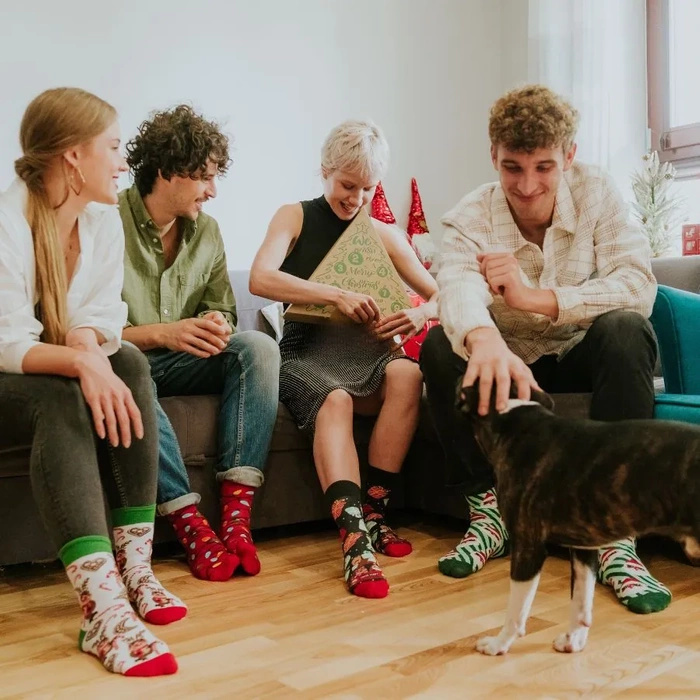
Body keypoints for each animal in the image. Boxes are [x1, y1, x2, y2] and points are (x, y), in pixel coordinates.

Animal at [456, 382, 700, 656]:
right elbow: (581, 600)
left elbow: (516, 611)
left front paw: (499, 644)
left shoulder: (528, 548)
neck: (514, 416)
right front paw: (573, 641)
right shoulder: (585, 548)